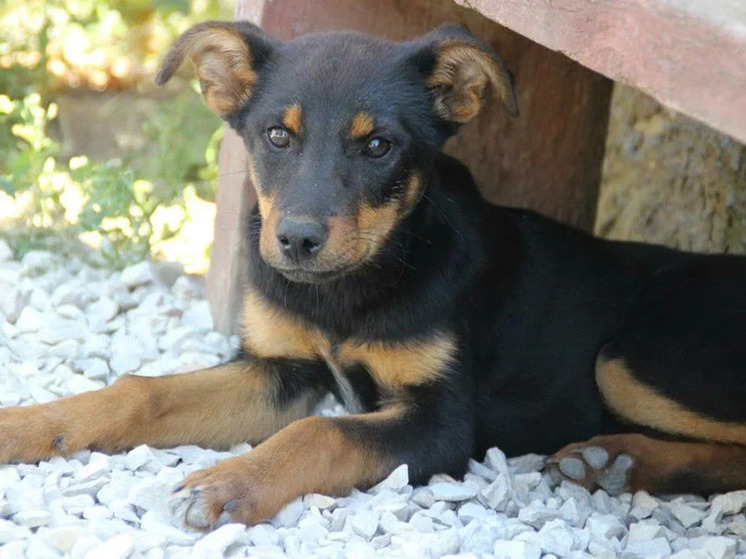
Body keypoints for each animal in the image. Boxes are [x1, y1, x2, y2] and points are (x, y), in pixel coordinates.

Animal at [1, 21, 744, 528]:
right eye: (277, 136)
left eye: (379, 146)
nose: (297, 241)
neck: (346, 291)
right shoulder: (278, 367)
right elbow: (140, 392)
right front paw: (27, 425)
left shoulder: (442, 422)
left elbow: (322, 432)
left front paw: (229, 483)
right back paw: (615, 463)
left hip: (629, 358)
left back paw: (620, 460)